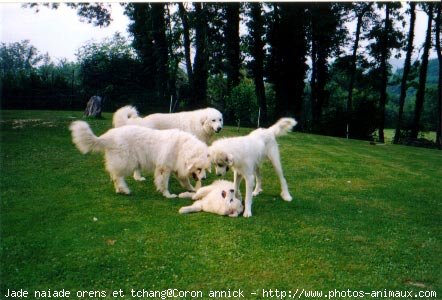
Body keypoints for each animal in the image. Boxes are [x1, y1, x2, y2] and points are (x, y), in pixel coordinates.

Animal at [69, 120, 211, 198]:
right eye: (199, 169)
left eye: (205, 169)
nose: (204, 179)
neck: (182, 148)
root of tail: (110, 135)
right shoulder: (164, 168)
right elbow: (163, 183)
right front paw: (167, 195)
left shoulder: (176, 167)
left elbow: (185, 181)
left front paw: (192, 189)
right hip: (126, 162)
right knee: (117, 176)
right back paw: (124, 190)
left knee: (114, 175)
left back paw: (119, 190)